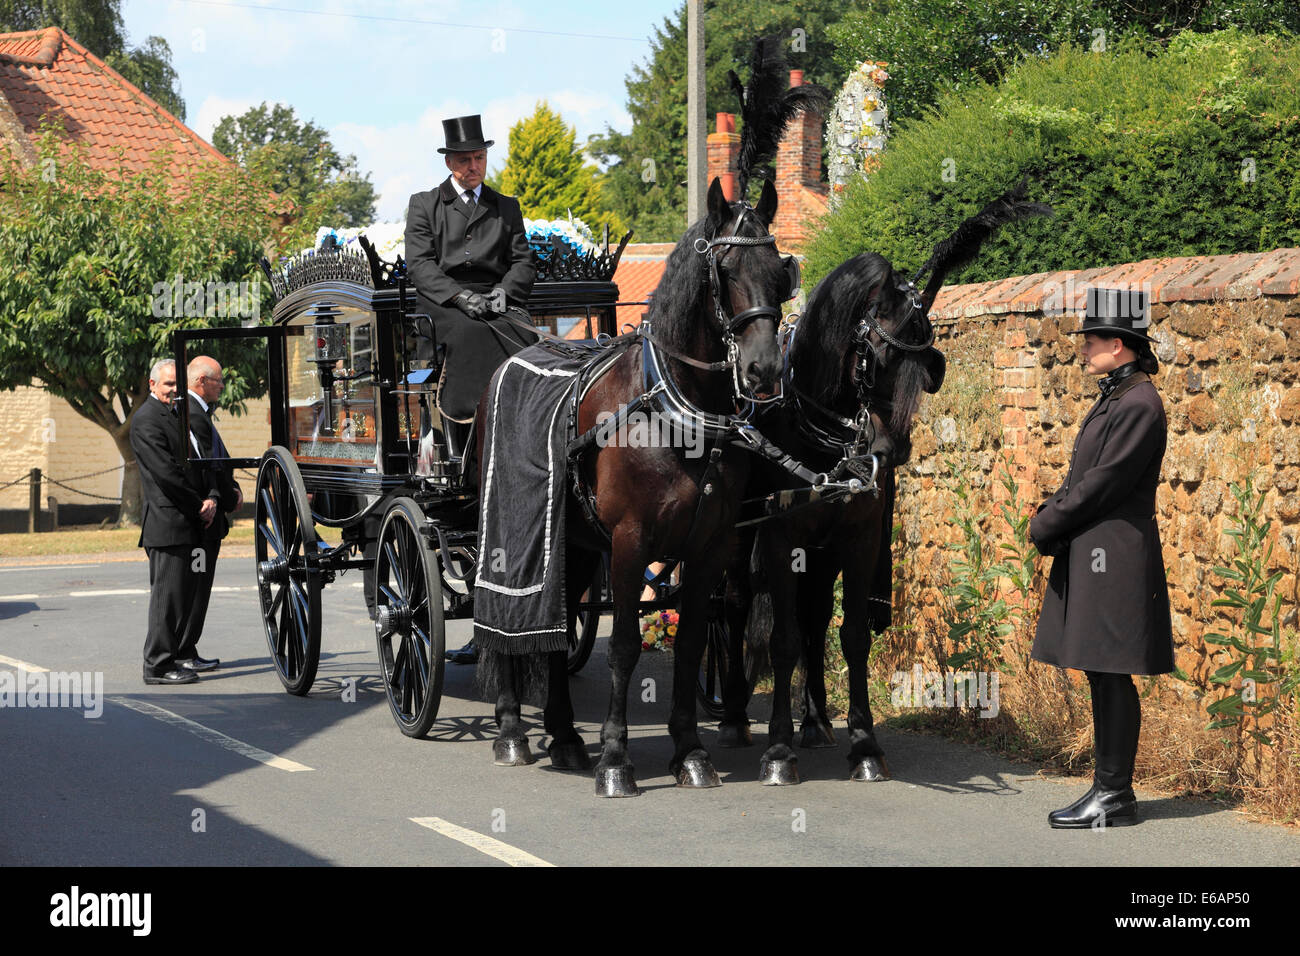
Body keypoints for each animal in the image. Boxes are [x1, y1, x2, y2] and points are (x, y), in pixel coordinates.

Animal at [722, 183, 1055, 780]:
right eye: (870, 358)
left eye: (928, 372)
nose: (888, 451)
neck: (822, 434)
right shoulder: (780, 538)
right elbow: (781, 638)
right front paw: (778, 749)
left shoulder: (857, 539)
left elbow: (851, 635)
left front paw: (863, 742)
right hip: (740, 538)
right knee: (737, 606)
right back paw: (737, 716)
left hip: (820, 549)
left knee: (815, 615)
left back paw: (816, 722)